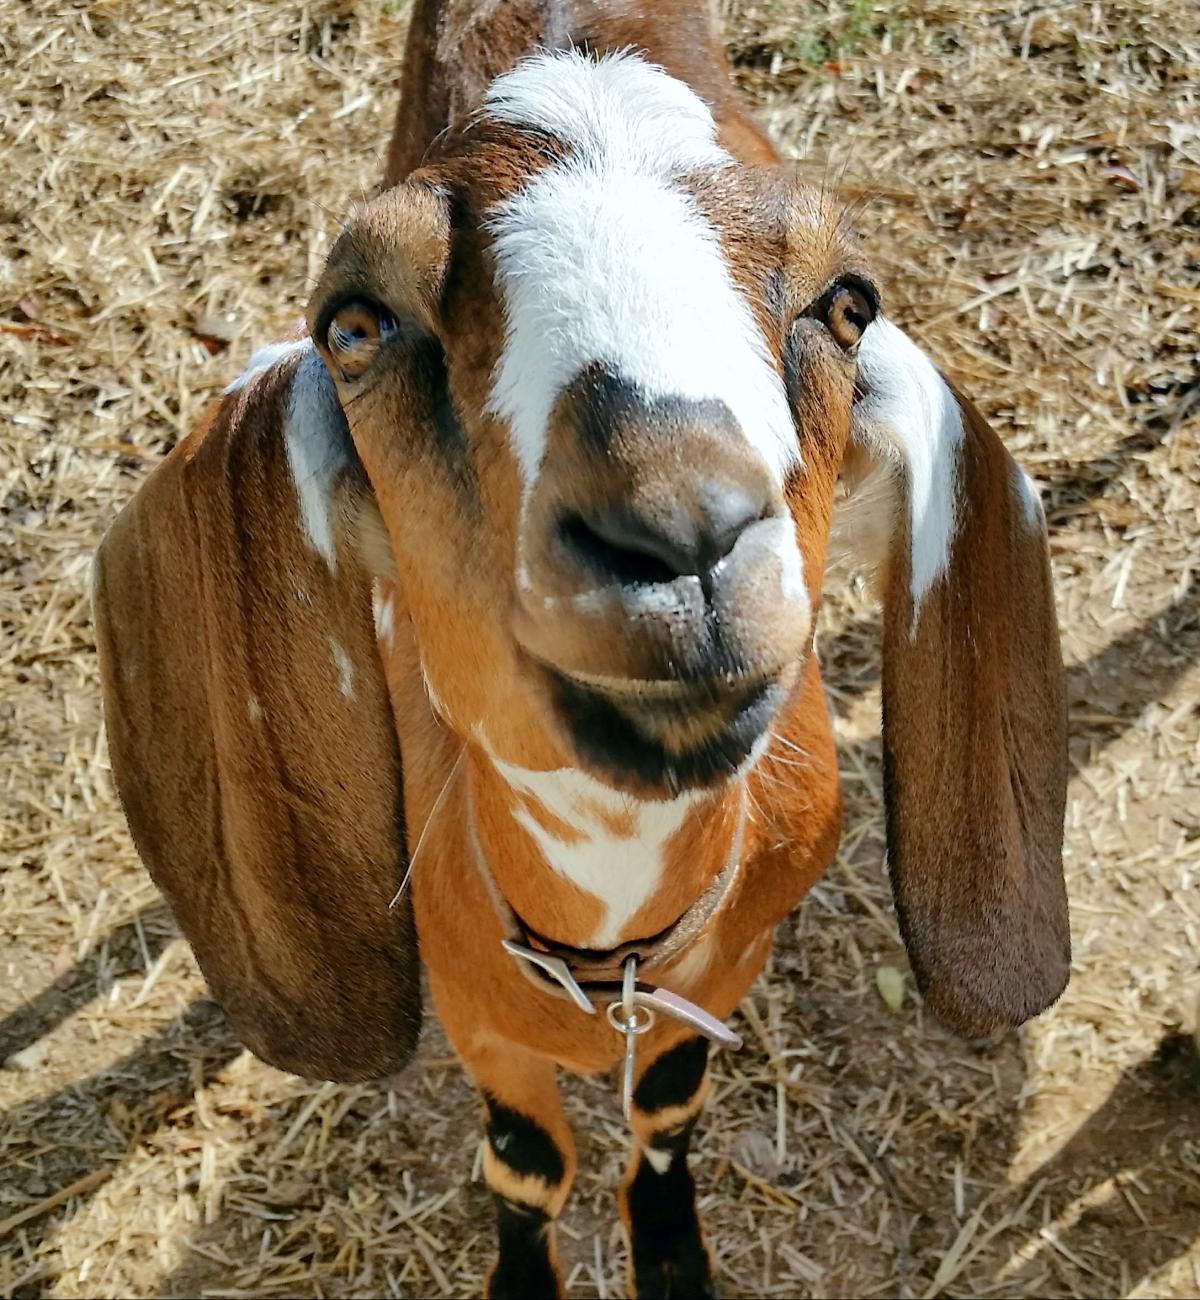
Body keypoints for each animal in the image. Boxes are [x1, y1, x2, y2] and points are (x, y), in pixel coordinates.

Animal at [91, 5, 1071, 1294]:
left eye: (848, 302)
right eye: (355, 322)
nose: (677, 524)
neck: (607, 946)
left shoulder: (723, 973)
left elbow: (663, 1111)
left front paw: (671, 1253)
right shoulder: (471, 1011)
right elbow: (525, 1163)